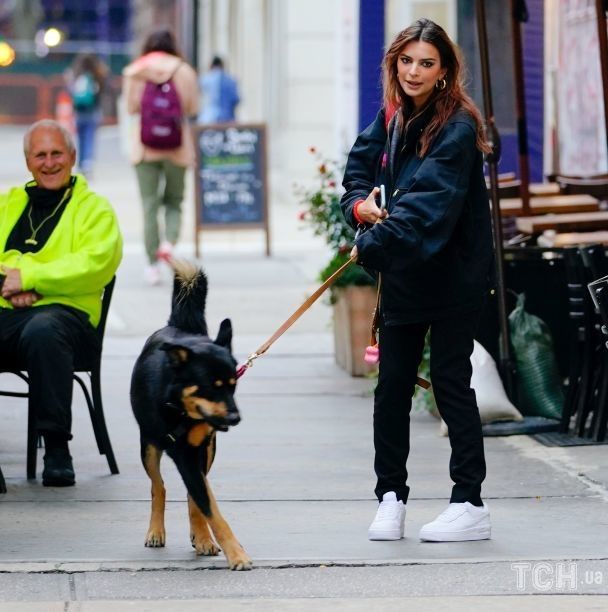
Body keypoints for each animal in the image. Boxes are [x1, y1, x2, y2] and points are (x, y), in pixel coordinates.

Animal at [129, 262, 251, 568]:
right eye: (211, 387)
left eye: (233, 385)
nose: (235, 418)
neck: (181, 407)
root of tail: (179, 326)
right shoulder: (182, 453)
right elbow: (210, 508)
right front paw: (237, 555)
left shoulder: (199, 450)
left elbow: (201, 500)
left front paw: (206, 538)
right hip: (149, 445)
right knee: (158, 486)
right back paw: (155, 531)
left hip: (209, 450)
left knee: (190, 493)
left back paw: (199, 535)